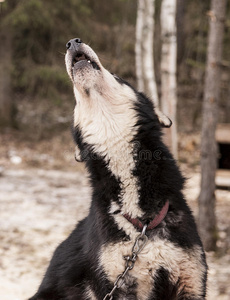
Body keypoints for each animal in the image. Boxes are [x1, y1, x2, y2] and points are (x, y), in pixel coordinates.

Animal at [29, 38, 208, 298]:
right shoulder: (118, 284)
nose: (73, 42)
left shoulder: (189, 281)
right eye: (75, 99)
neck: (142, 224)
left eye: (116, 76)